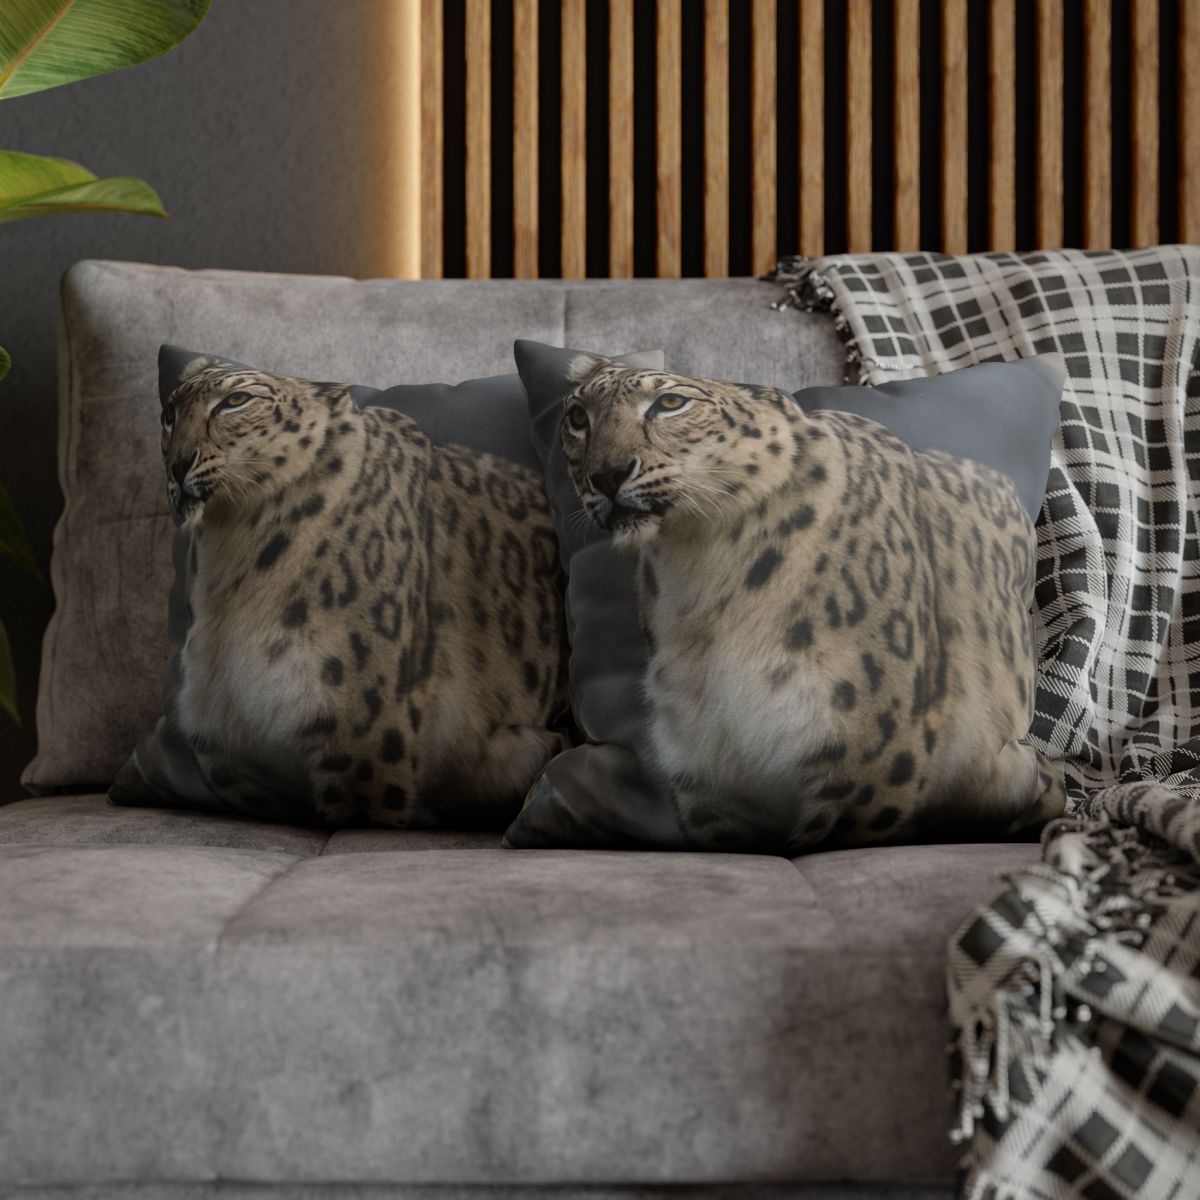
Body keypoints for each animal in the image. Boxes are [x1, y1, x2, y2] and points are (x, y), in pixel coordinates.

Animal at [560, 355, 1066, 854]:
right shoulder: (705, 775)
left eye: (670, 403)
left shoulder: (872, 756)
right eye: (578, 417)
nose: (606, 474)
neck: (699, 577)